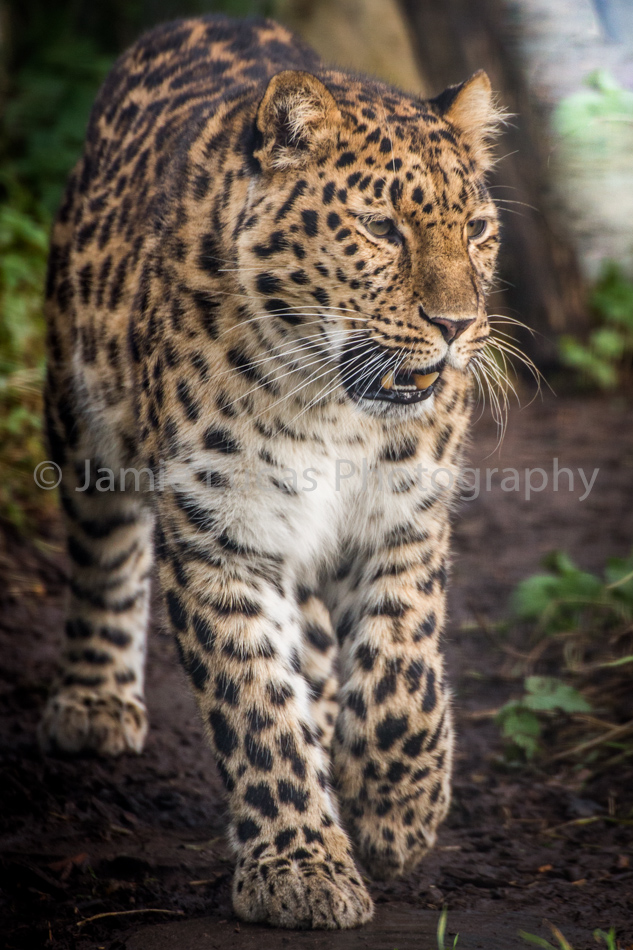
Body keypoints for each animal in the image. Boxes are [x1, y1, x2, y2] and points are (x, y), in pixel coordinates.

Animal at [39, 14, 505, 931]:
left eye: (475, 228)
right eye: (380, 228)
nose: (456, 324)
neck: (332, 406)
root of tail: (200, 17)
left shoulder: (404, 520)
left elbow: (402, 669)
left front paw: (394, 806)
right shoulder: (221, 538)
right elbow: (256, 710)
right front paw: (299, 867)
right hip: (80, 410)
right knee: (103, 550)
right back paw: (96, 698)